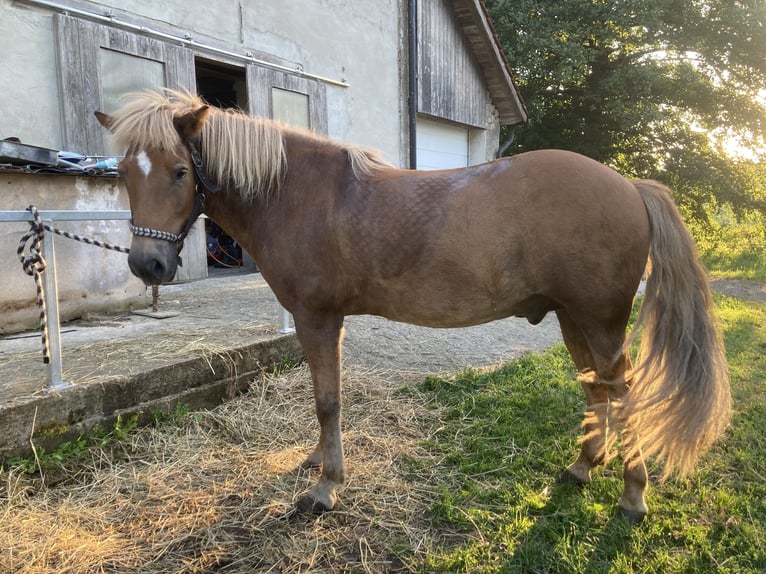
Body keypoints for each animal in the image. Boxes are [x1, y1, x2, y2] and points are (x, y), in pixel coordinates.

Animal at [96, 89, 730, 524]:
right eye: (123, 173)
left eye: (181, 171)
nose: (147, 266)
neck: (297, 193)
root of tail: (630, 186)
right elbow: (323, 398)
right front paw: (316, 463)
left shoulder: (318, 318)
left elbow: (327, 400)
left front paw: (325, 487)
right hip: (573, 319)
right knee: (597, 389)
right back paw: (582, 468)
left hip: (601, 323)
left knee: (622, 394)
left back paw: (633, 494)